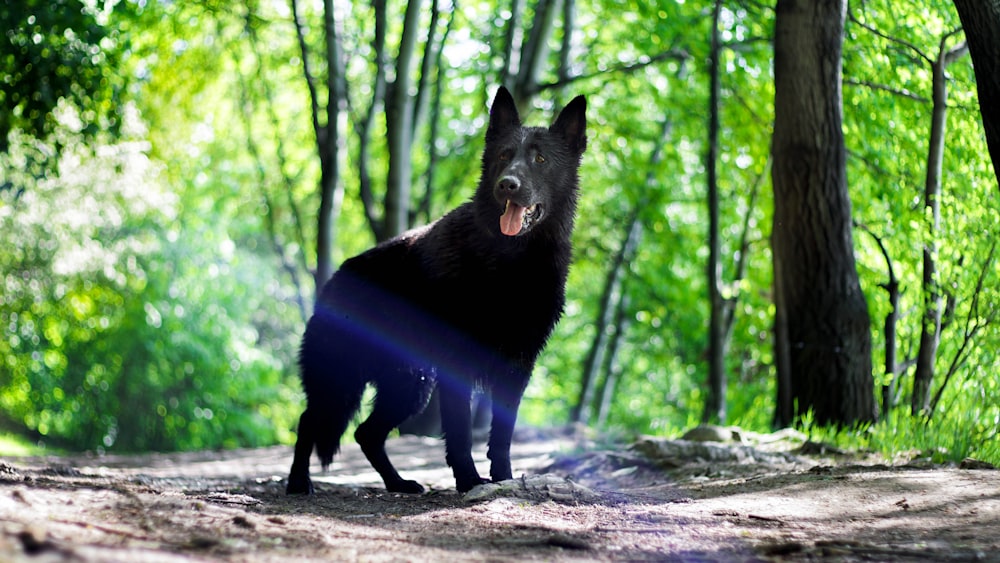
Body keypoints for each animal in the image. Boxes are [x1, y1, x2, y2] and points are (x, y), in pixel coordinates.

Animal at [286, 87, 584, 494]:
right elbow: (459, 431)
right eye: (504, 155)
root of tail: (336, 279)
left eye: (540, 159)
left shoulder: (517, 367)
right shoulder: (458, 364)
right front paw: (469, 481)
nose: (508, 184)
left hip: (410, 386)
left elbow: (501, 435)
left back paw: (398, 483)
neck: (510, 261)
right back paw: (299, 481)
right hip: (343, 380)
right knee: (308, 420)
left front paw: (503, 479)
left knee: (366, 433)